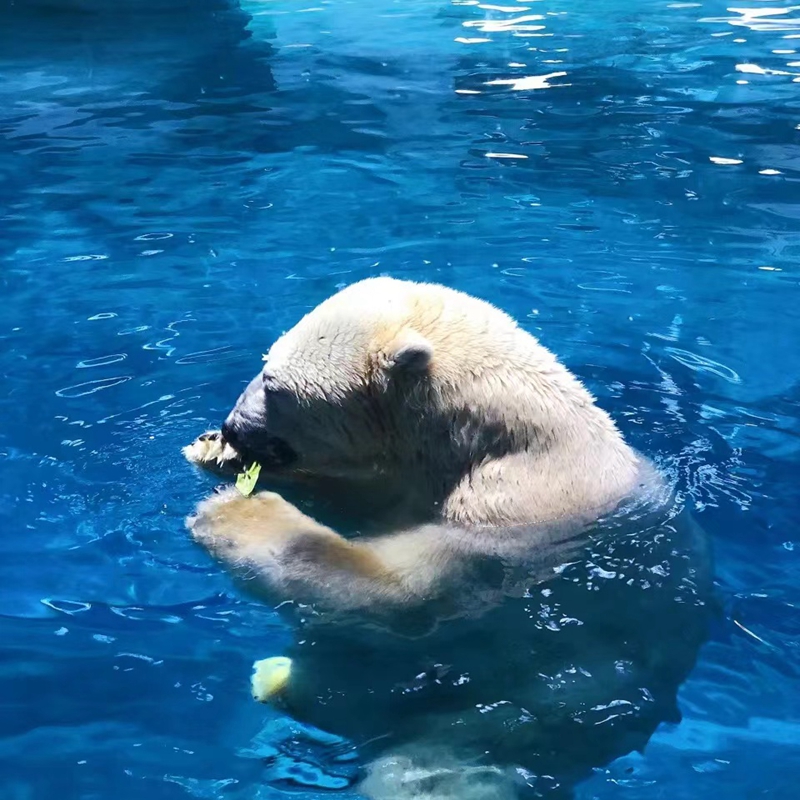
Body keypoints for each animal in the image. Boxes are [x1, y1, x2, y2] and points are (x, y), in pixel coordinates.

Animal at [183, 278, 712, 796]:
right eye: (265, 364)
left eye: (273, 383)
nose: (231, 425)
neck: (488, 440)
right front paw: (213, 453)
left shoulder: (509, 513)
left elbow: (401, 595)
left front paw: (235, 512)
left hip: (510, 717)